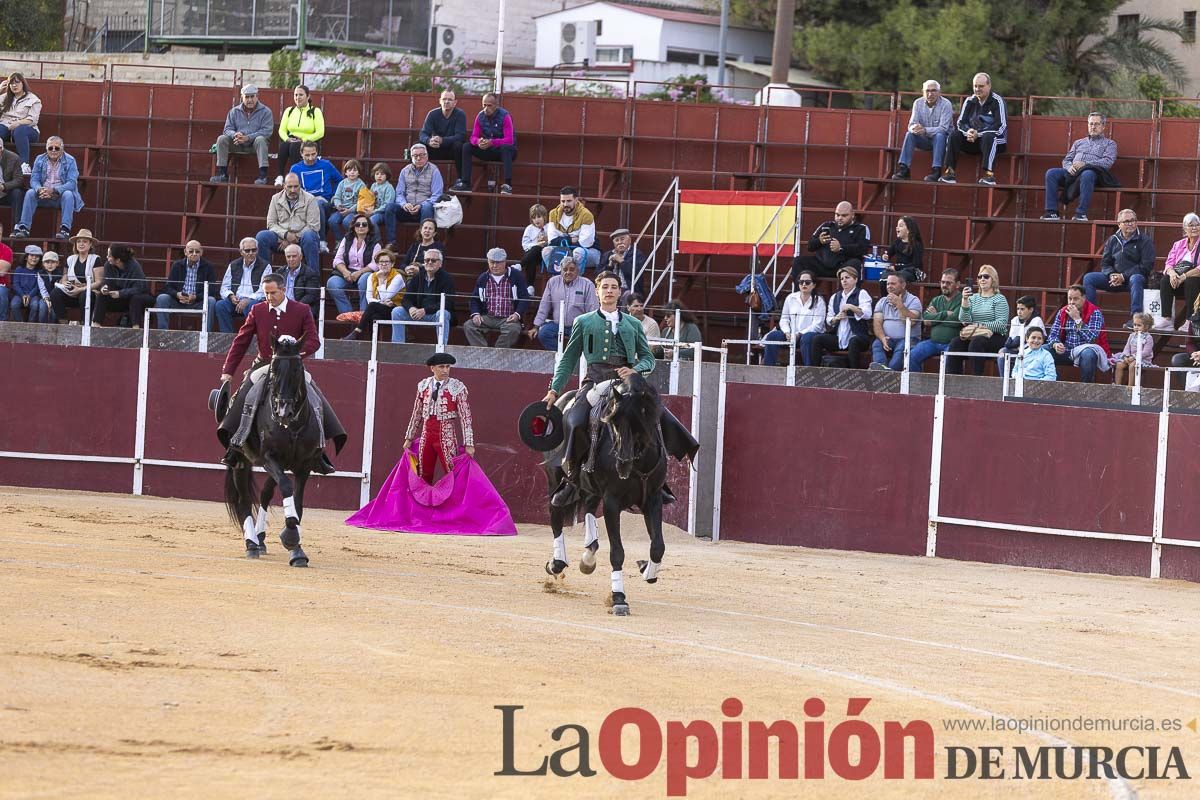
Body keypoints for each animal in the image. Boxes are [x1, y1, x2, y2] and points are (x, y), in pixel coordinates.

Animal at [224, 335, 324, 566]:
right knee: (244, 500)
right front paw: (291, 537)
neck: (292, 426)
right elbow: (286, 488)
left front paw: (297, 550)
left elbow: (297, 501)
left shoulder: (304, 465)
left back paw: (260, 539)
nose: (283, 411)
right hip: (241, 461)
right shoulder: (269, 458)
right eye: (274, 369)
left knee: (265, 494)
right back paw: (251, 544)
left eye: (297, 369)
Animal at [544, 371, 686, 618]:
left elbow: (658, 546)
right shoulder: (612, 502)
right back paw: (557, 562)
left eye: (640, 423)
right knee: (556, 507)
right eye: (612, 422)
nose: (622, 464)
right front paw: (619, 598)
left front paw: (646, 570)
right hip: (556, 477)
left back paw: (588, 556)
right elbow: (617, 552)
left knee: (588, 506)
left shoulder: (653, 499)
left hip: (589, 487)